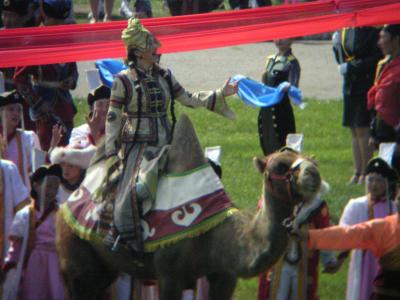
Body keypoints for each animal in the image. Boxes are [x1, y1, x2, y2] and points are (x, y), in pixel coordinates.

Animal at [55, 113, 322, 298]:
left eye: (312, 159)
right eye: (279, 165)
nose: (314, 174)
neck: (217, 237)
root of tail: (68, 201)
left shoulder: (224, 275)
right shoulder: (169, 276)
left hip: (104, 266)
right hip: (75, 258)